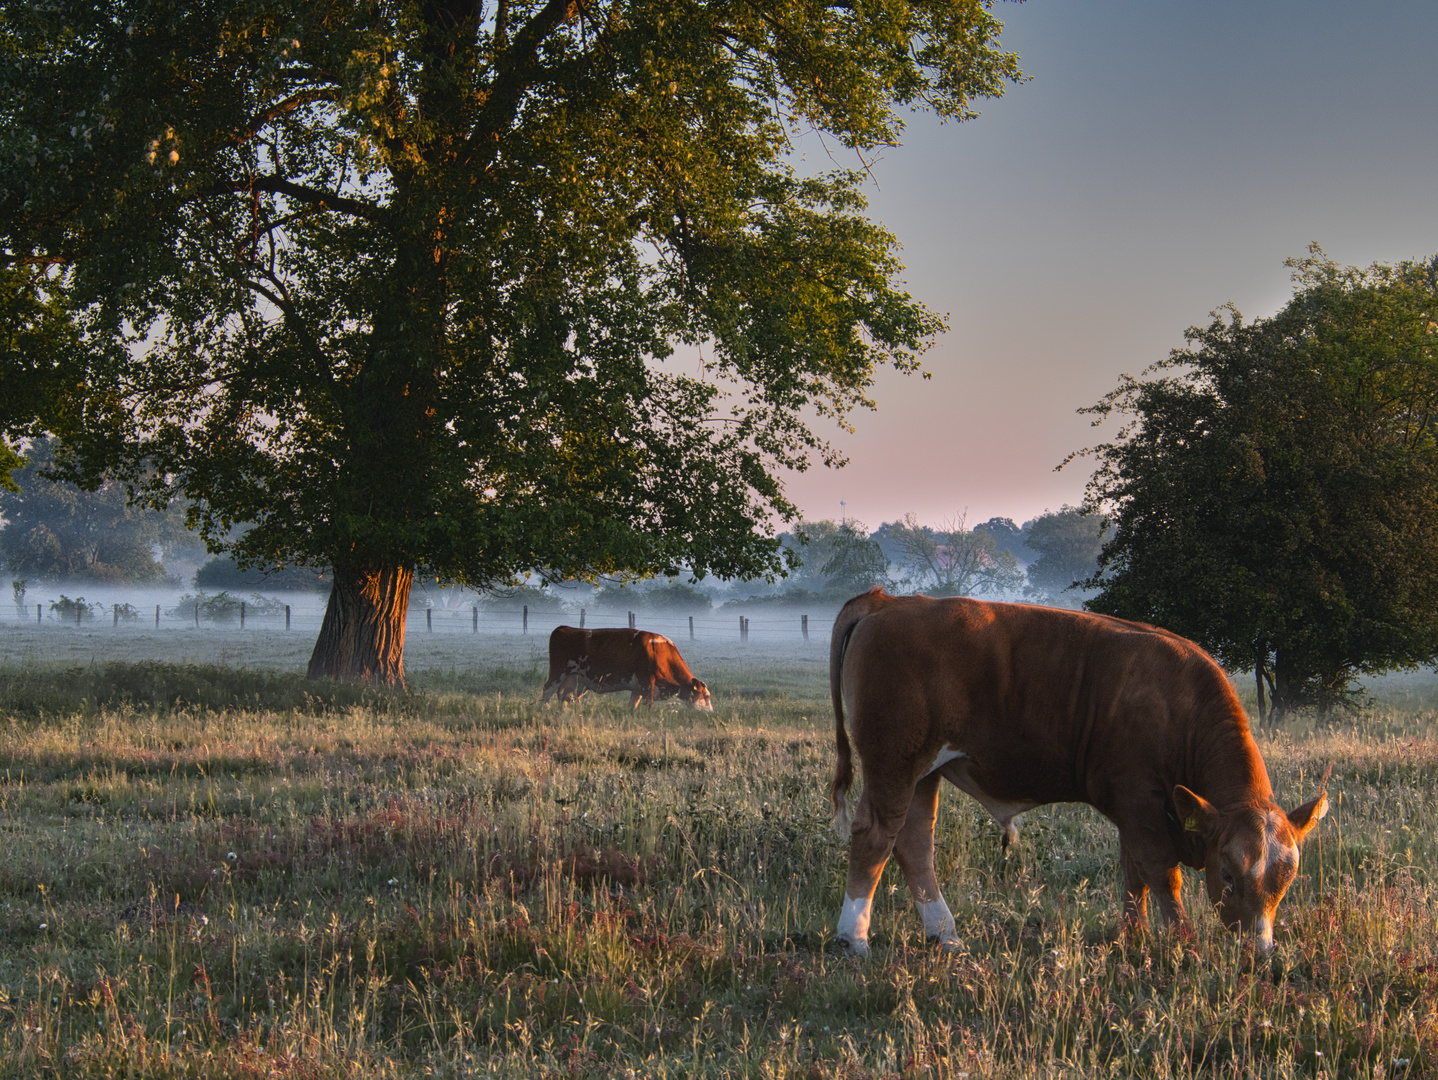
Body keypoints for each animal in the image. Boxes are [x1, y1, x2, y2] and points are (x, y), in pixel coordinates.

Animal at [540, 624, 713, 710]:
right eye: (706, 696)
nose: (710, 713)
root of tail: (564, 628)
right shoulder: (647, 681)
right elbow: (648, 704)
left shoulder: (637, 688)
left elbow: (633, 706)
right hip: (558, 672)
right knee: (547, 691)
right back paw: (545, 711)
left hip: (576, 680)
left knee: (565, 696)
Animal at [828, 592, 1328, 954]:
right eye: (1227, 874)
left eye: (1286, 881)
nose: (1259, 949)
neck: (1177, 706)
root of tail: (888, 600)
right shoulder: (1140, 800)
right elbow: (1160, 870)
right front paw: (1183, 941)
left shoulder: (1135, 811)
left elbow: (1132, 872)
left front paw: (1132, 936)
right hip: (893, 763)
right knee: (875, 836)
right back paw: (854, 938)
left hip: (923, 771)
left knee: (914, 843)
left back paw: (945, 935)